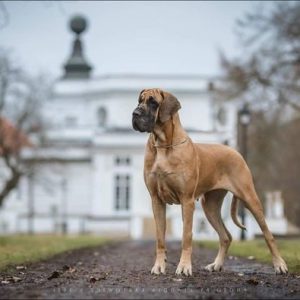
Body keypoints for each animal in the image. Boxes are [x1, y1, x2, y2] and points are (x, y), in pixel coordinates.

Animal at [132, 88, 288, 276]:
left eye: (153, 102)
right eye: (139, 101)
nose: (135, 113)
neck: (163, 145)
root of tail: (236, 152)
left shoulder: (187, 200)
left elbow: (186, 235)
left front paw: (184, 266)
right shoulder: (156, 200)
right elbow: (160, 237)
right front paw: (159, 266)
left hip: (250, 198)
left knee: (268, 234)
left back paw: (279, 264)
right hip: (210, 207)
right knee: (226, 236)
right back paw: (217, 264)